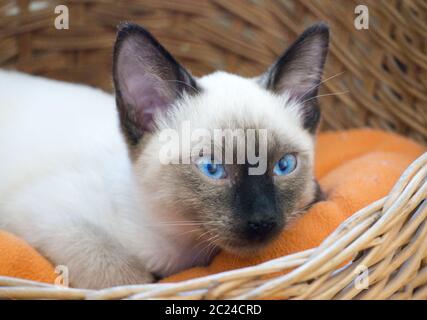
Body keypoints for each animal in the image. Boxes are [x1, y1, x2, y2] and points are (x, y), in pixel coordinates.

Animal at [0, 21, 330, 288]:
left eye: (284, 165)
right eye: (212, 168)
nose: (263, 220)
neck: (183, 248)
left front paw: (316, 195)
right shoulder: (47, 217)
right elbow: (122, 279)